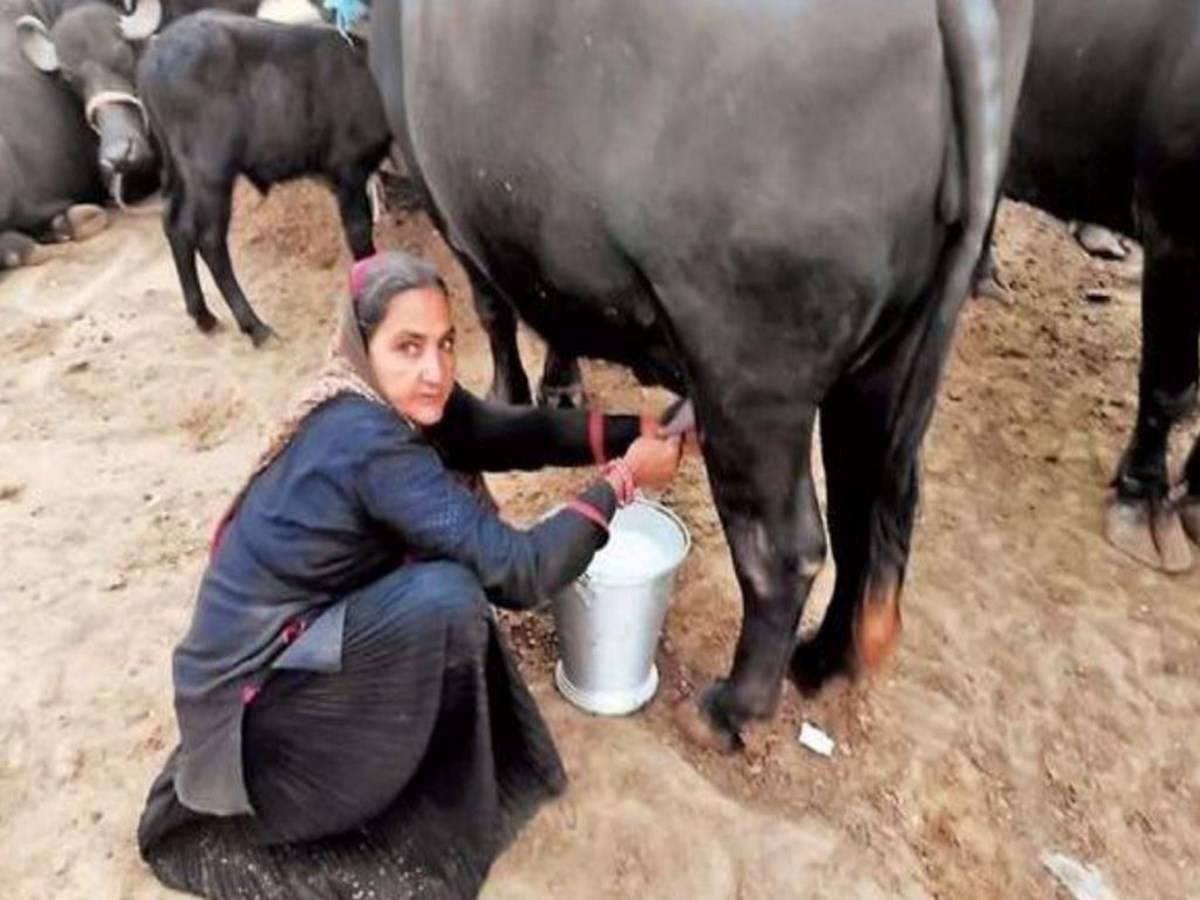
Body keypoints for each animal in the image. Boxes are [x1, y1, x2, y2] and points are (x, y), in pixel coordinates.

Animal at [138, 7, 388, 345]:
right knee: (208, 237)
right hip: (211, 172)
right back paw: (253, 325)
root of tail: (154, 54)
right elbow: (359, 232)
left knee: (174, 223)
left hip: (181, 169)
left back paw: (203, 315)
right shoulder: (348, 169)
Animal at [372, 0, 1032, 748]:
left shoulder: (455, 209)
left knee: (785, 549)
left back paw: (731, 707)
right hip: (894, 356)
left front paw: (509, 397)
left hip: (748, 372)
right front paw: (558, 386)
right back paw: (823, 661)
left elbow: (493, 310)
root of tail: (955, 12)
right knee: (867, 510)